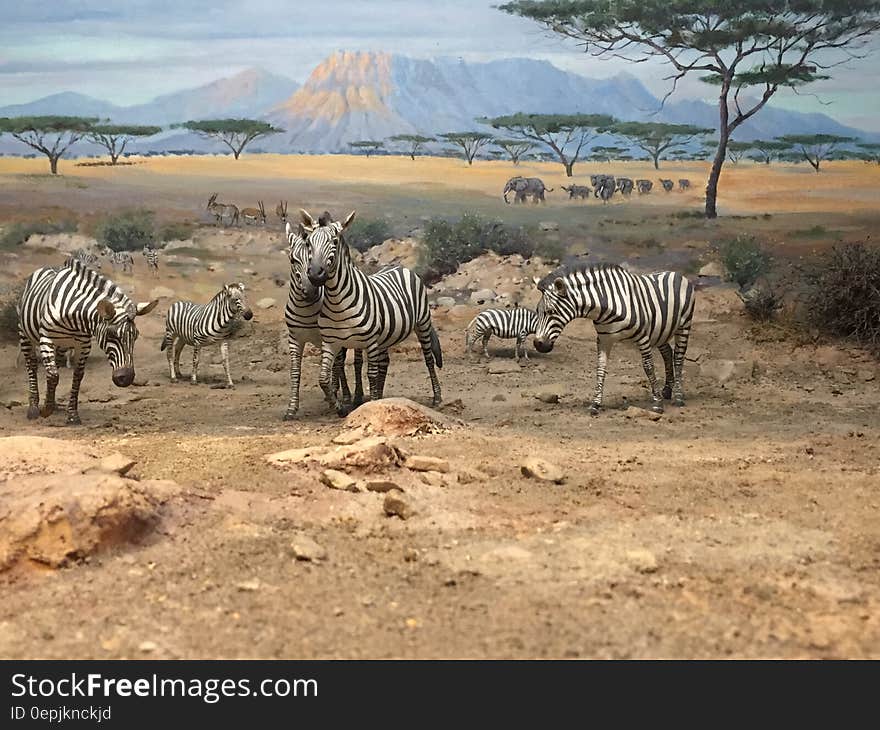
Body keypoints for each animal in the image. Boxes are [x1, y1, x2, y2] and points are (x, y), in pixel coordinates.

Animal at [17, 258, 158, 424]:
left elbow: (77, 376)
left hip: (62, 344)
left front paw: (72, 415)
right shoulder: (46, 339)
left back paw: (54, 404)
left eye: (135, 336)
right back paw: (33, 408)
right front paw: (46, 409)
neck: (73, 314)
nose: (127, 378)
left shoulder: (83, 345)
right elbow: (52, 375)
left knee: (56, 363)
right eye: (111, 335)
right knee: (32, 366)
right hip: (25, 334)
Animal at [284, 219, 362, 418]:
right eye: (293, 260)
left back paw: (354, 396)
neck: (305, 311)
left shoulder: (329, 337)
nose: (311, 291)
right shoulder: (295, 339)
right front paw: (291, 408)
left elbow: (336, 366)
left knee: (356, 363)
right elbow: (295, 372)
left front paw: (339, 399)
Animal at [302, 208, 444, 410]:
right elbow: (323, 378)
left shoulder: (369, 341)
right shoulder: (331, 342)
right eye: (308, 243)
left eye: (334, 242)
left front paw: (369, 402)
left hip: (422, 323)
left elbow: (371, 374)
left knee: (429, 359)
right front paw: (339, 406)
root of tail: (399, 266)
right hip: (385, 336)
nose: (315, 275)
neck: (338, 302)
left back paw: (437, 397)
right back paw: (382, 397)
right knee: (384, 363)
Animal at [528, 258, 696, 412]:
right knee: (667, 352)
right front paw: (595, 403)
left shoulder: (643, 337)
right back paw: (667, 390)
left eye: (551, 311)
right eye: (537, 311)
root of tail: (675, 273)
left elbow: (648, 366)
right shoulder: (604, 339)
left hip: (683, 326)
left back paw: (678, 397)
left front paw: (657, 403)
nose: (538, 344)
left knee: (678, 358)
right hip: (659, 331)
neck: (605, 307)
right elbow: (600, 369)